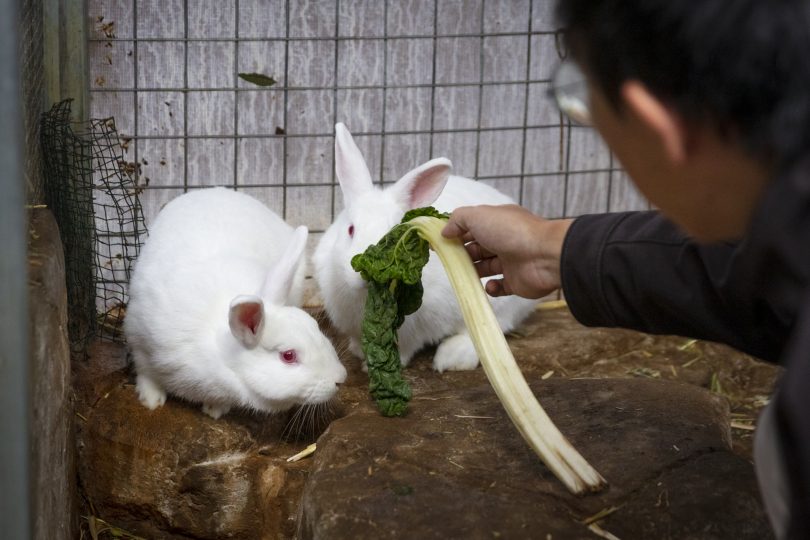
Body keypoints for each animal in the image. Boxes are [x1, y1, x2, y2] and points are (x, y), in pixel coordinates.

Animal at [124, 188, 346, 420]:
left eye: (315, 326)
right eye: (288, 356)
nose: (340, 378)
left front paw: (215, 410)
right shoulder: (140, 340)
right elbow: (146, 372)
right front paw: (151, 400)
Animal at [314, 124, 536, 374]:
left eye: (395, 233)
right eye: (351, 229)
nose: (367, 275)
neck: (366, 298)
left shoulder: (413, 329)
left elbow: (405, 348)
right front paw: (357, 351)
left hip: (494, 303)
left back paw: (452, 357)